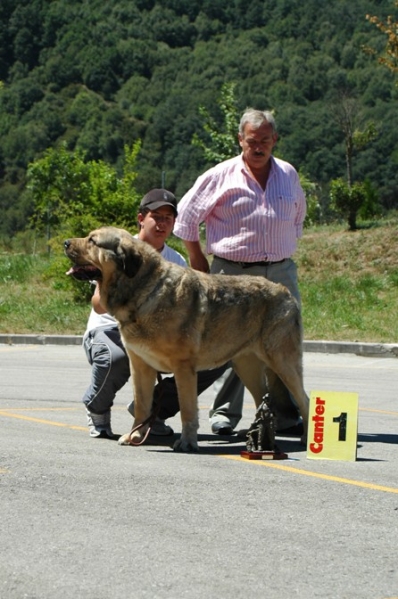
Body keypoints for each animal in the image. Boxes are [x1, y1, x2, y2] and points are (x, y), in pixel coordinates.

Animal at [63, 227, 310, 452]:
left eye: (92, 241)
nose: (65, 242)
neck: (144, 292)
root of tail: (286, 292)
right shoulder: (140, 365)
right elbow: (143, 405)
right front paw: (136, 436)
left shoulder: (183, 368)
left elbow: (187, 409)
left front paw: (187, 443)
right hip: (246, 365)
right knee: (262, 398)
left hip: (283, 363)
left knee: (304, 400)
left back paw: (304, 439)